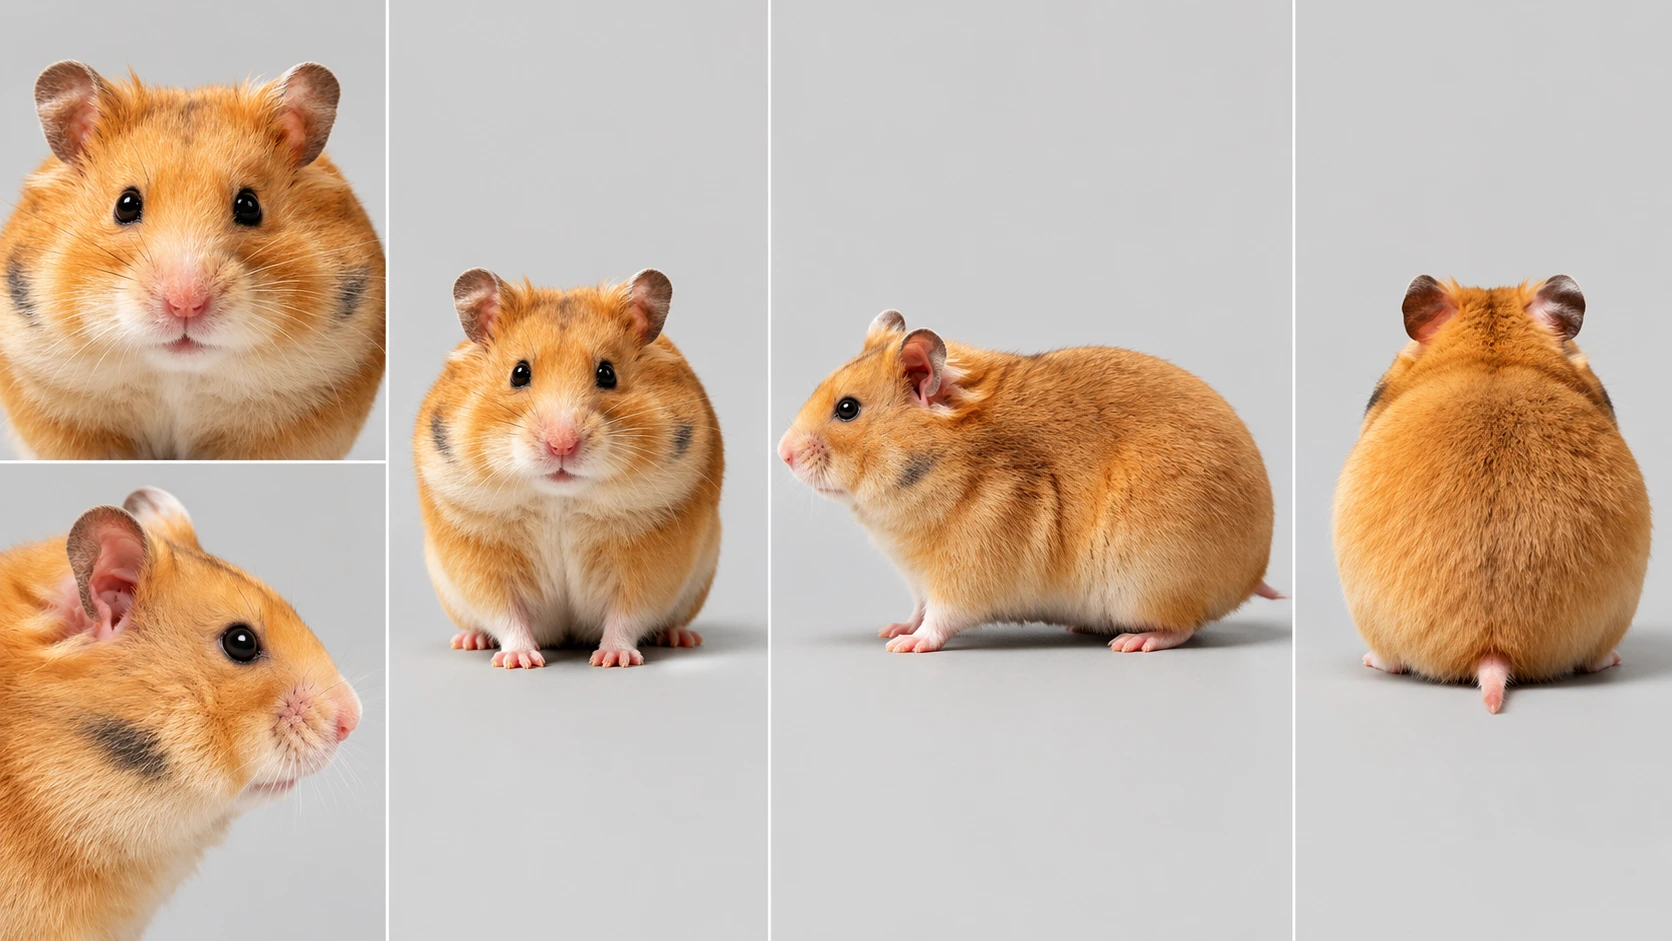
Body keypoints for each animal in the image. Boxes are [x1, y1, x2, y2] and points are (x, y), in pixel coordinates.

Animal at [414, 268, 723, 669]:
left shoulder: (649, 564)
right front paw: (520, 661)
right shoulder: (480, 560)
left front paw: (613, 660)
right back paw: (469, 641)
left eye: (607, 373)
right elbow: (506, 614)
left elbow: (627, 613)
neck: (559, 499)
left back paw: (680, 637)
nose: (562, 445)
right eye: (519, 373)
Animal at [778, 310, 1279, 654]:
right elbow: (918, 609)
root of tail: (1253, 573)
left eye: (847, 409)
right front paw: (893, 629)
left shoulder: (962, 575)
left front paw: (904, 646)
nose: (782, 454)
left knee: (1183, 626)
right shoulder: (919, 579)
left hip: (1151, 584)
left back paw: (1133, 642)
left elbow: (939, 619)